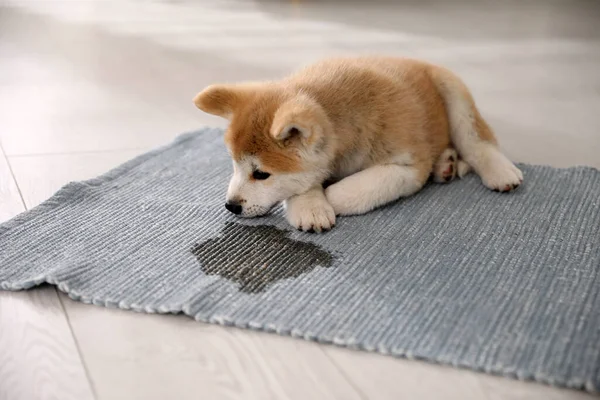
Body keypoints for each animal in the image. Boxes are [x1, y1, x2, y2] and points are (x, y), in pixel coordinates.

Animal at [195, 56, 524, 231]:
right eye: (234, 164)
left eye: (261, 174)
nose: (231, 206)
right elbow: (307, 182)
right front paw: (309, 205)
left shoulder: (407, 167)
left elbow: (350, 191)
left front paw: (325, 197)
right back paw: (446, 164)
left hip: (452, 92)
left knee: (477, 141)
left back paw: (498, 171)